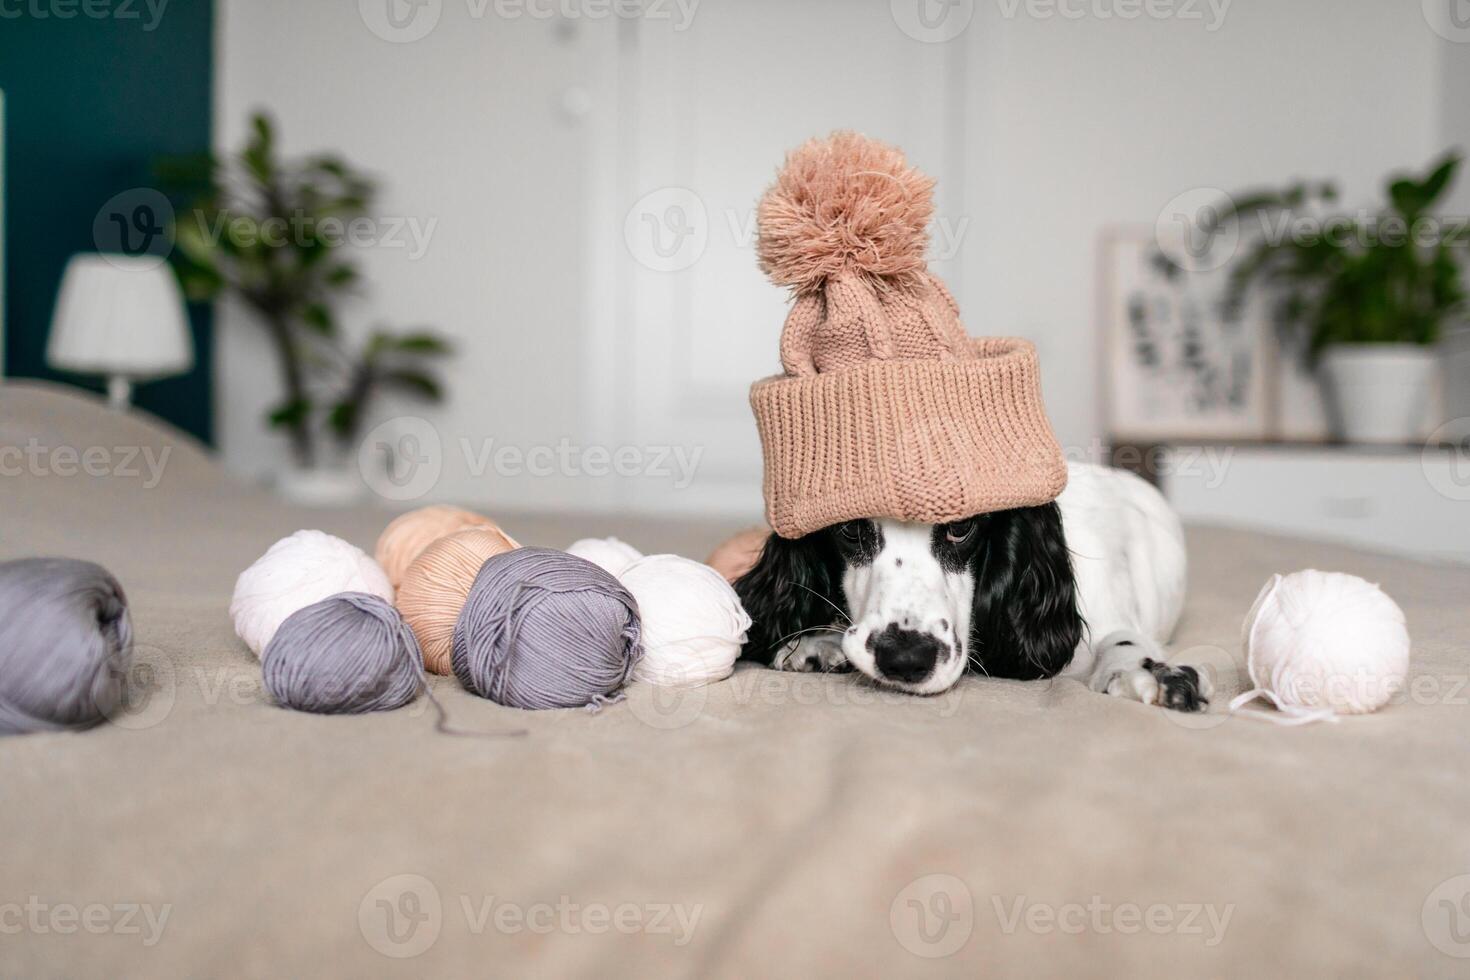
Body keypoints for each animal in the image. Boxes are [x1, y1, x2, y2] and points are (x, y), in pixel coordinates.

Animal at [732, 464, 1205, 708]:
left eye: (960, 527)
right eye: (850, 528)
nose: (906, 658)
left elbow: (1121, 640)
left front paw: (1152, 673)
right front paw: (814, 639)